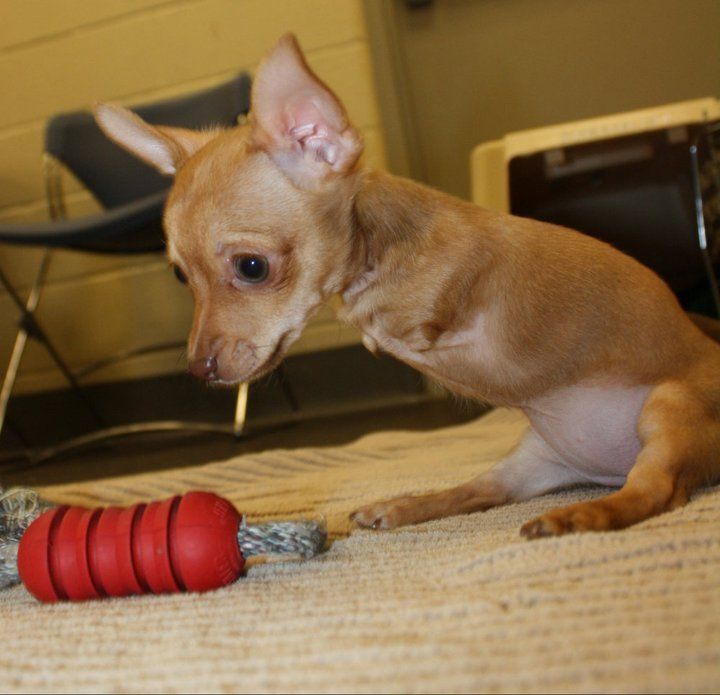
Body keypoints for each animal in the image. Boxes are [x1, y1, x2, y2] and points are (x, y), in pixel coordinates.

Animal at [94, 34, 720, 538]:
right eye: (180, 276)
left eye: (252, 268)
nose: (198, 369)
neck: (377, 261)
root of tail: (604, 473)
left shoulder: (471, 344)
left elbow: (392, 325)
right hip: (533, 460)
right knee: (481, 492)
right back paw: (404, 506)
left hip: (668, 409)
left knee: (658, 491)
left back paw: (583, 515)